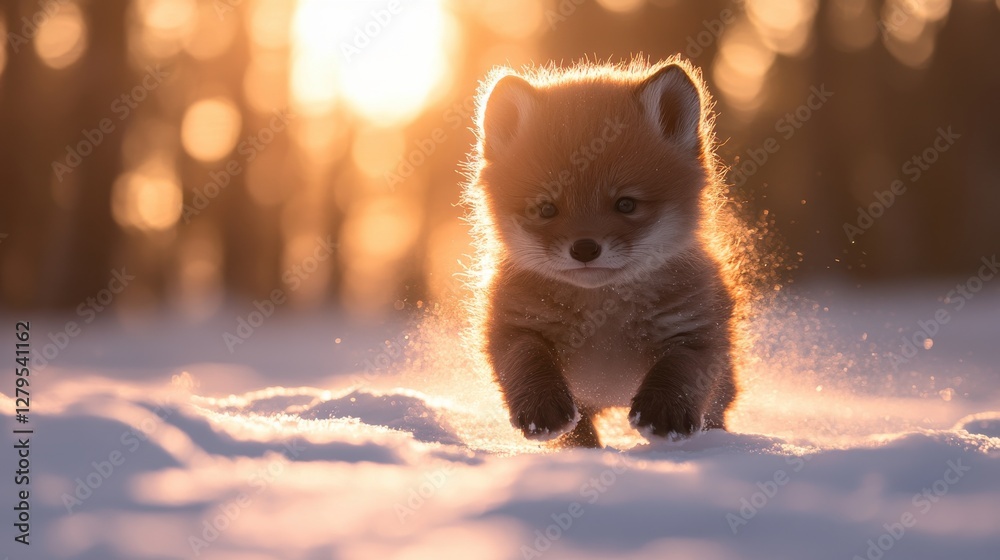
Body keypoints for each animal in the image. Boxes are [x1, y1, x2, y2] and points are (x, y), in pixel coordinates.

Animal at [464, 57, 738, 448]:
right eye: (546, 209)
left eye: (626, 204)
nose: (585, 248)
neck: (602, 316)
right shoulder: (514, 326)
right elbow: (527, 362)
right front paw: (542, 410)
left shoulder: (696, 329)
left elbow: (680, 371)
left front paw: (662, 415)